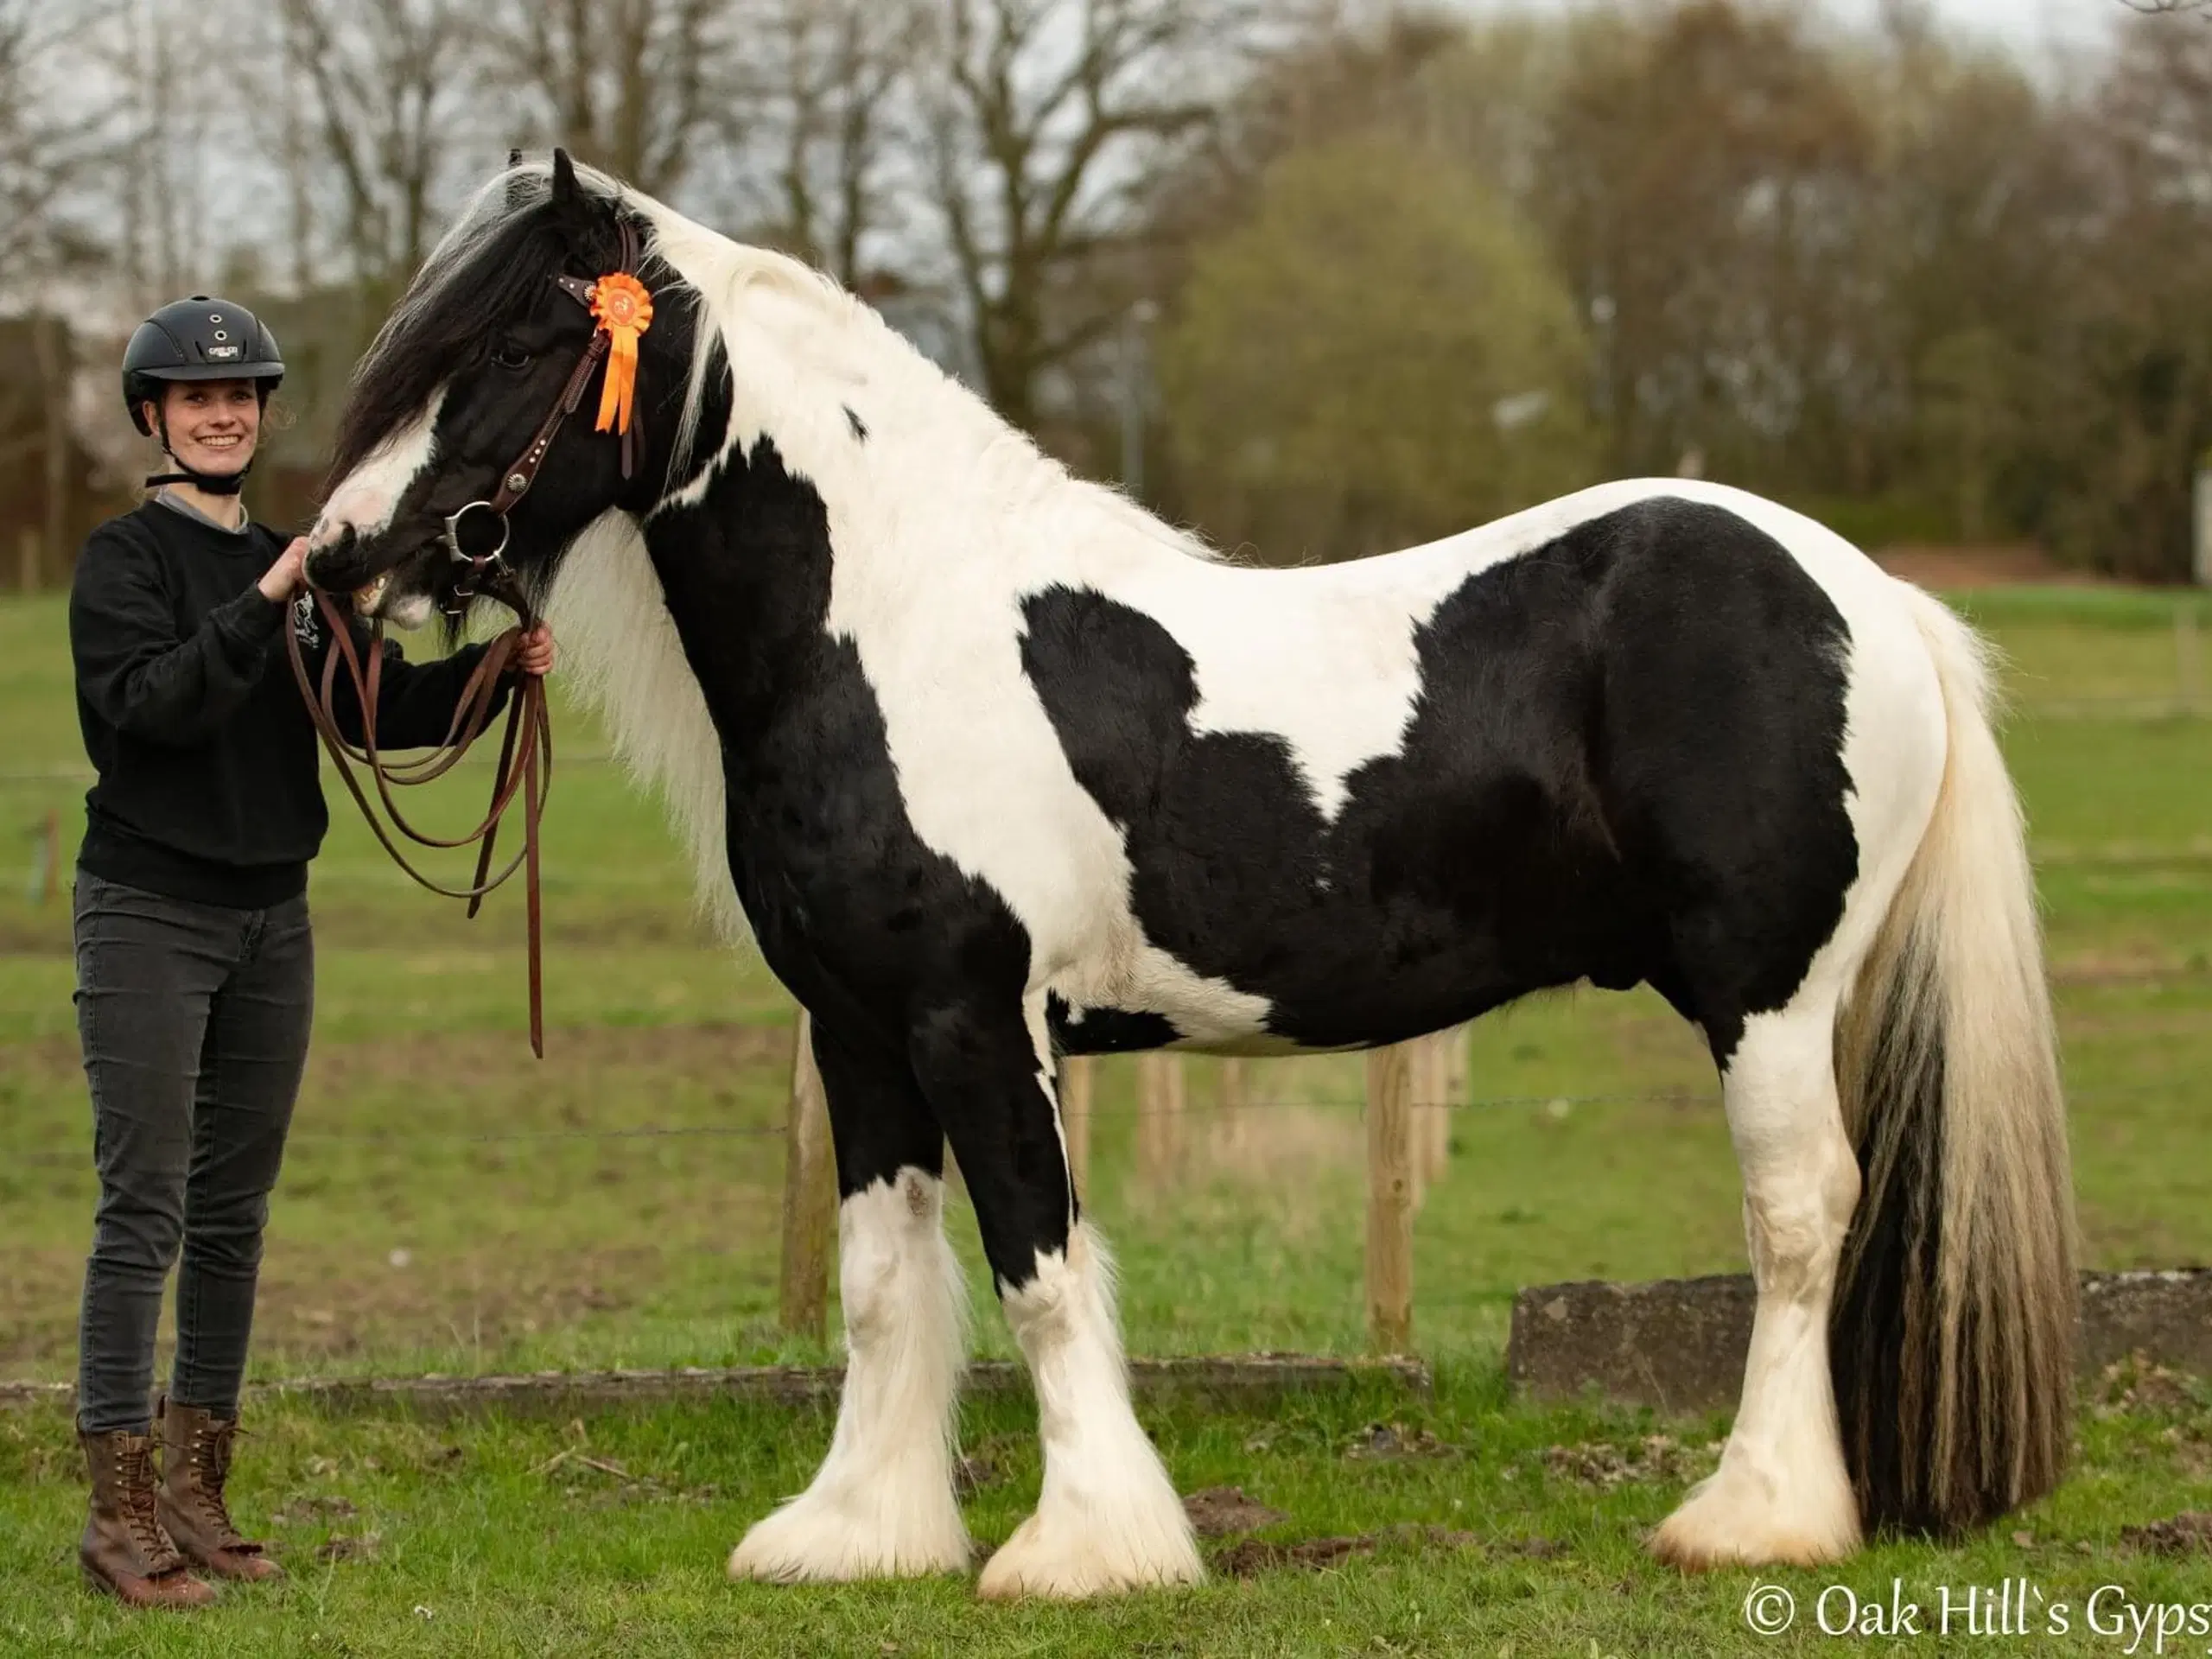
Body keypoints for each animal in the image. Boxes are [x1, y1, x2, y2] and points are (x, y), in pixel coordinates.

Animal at [307, 149, 2070, 1601]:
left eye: (513, 349)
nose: (340, 563)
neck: (898, 626)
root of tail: (1870, 595)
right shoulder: (862, 1032)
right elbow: (884, 1286)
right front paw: (856, 1536)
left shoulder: (976, 1022)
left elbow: (1038, 1275)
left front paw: (1086, 1552)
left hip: (1768, 996)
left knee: (1799, 1215)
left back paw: (1750, 1518)